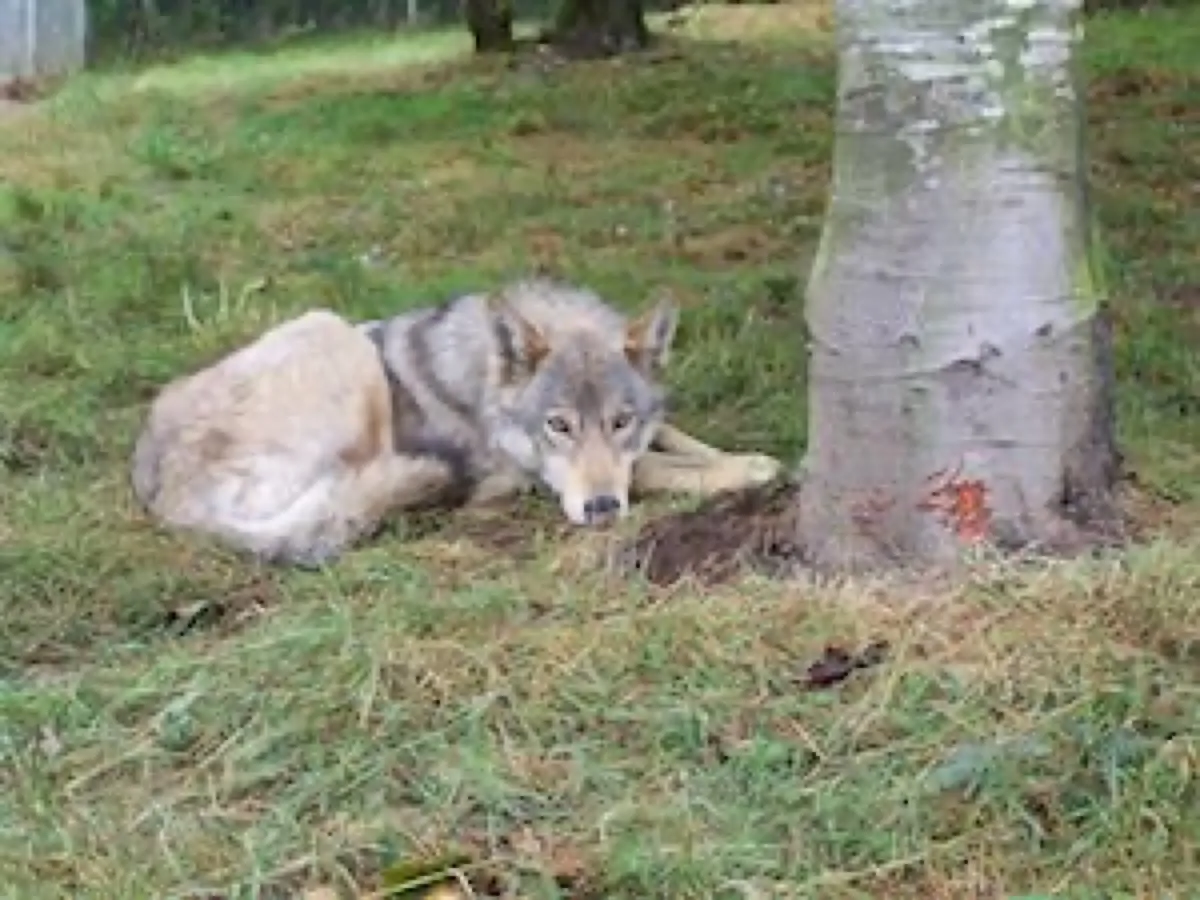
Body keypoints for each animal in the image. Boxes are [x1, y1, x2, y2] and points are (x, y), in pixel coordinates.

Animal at [130, 278, 784, 567]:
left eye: (621, 420)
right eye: (558, 426)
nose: (601, 510)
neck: (487, 381)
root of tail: (166, 499)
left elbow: (670, 437)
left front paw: (729, 452)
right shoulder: (539, 472)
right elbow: (660, 470)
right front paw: (747, 468)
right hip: (337, 338)